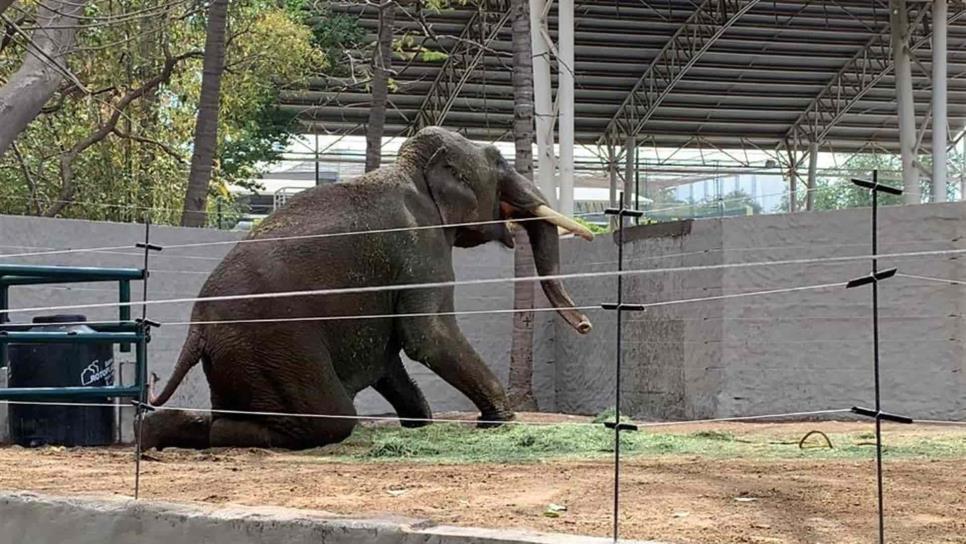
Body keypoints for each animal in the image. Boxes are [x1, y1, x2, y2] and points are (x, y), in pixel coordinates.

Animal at [142, 126, 596, 450]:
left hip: (243, 358)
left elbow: (389, 359)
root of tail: (197, 325)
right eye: (500, 160)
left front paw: (419, 424)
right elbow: (427, 336)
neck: (412, 168)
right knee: (330, 418)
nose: (586, 326)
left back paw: (154, 435)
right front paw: (501, 420)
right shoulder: (421, 249)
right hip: (274, 345)